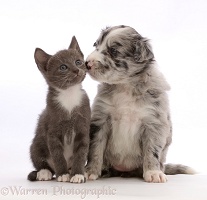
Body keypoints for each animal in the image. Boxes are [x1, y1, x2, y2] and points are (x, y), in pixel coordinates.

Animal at [27, 36, 90, 183]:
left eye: (78, 62)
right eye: (63, 67)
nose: (76, 70)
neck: (69, 94)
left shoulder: (83, 128)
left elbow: (81, 152)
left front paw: (78, 174)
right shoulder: (52, 131)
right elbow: (57, 154)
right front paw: (62, 174)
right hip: (36, 143)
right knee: (40, 159)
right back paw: (45, 172)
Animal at [85, 25, 195, 183]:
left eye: (113, 51)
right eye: (96, 45)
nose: (87, 63)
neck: (125, 86)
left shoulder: (153, 123)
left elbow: (152, 151)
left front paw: (153, 172)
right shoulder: (101, 119)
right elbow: (95, 148)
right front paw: (90, 171)